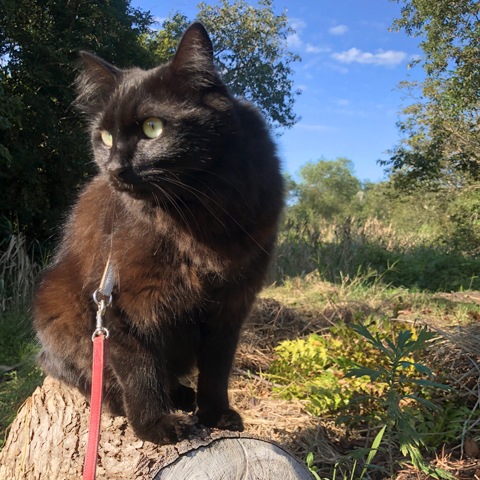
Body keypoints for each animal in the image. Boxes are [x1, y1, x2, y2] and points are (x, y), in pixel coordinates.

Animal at [33, 21, 284, 442]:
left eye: (153, 128)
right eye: (105, 137)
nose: (115, 168)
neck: (193, 214)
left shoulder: (232, 302)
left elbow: (217, 369)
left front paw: (215, 414)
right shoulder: (123, 304)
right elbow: (140, 370)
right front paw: (154, 424)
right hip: (58, 311)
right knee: (97, 382)